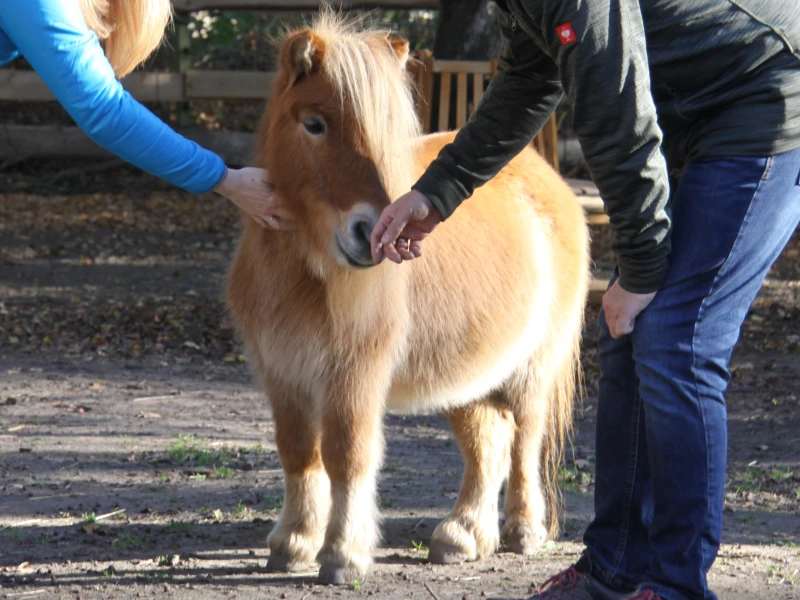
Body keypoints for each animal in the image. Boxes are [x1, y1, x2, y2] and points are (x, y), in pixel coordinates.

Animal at [228, 11, 592, 584]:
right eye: (314, 124)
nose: (369, 234)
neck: (303, 272)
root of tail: (543, 173)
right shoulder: (283, 373)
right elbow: (298, 453)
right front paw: (295, 542)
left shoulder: (354, 373)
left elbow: (347, 455)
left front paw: (342, 554)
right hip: (467, 378)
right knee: (487, 443)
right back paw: (462, 536)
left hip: (532, 369)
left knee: (525, 439)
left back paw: (522, 531)